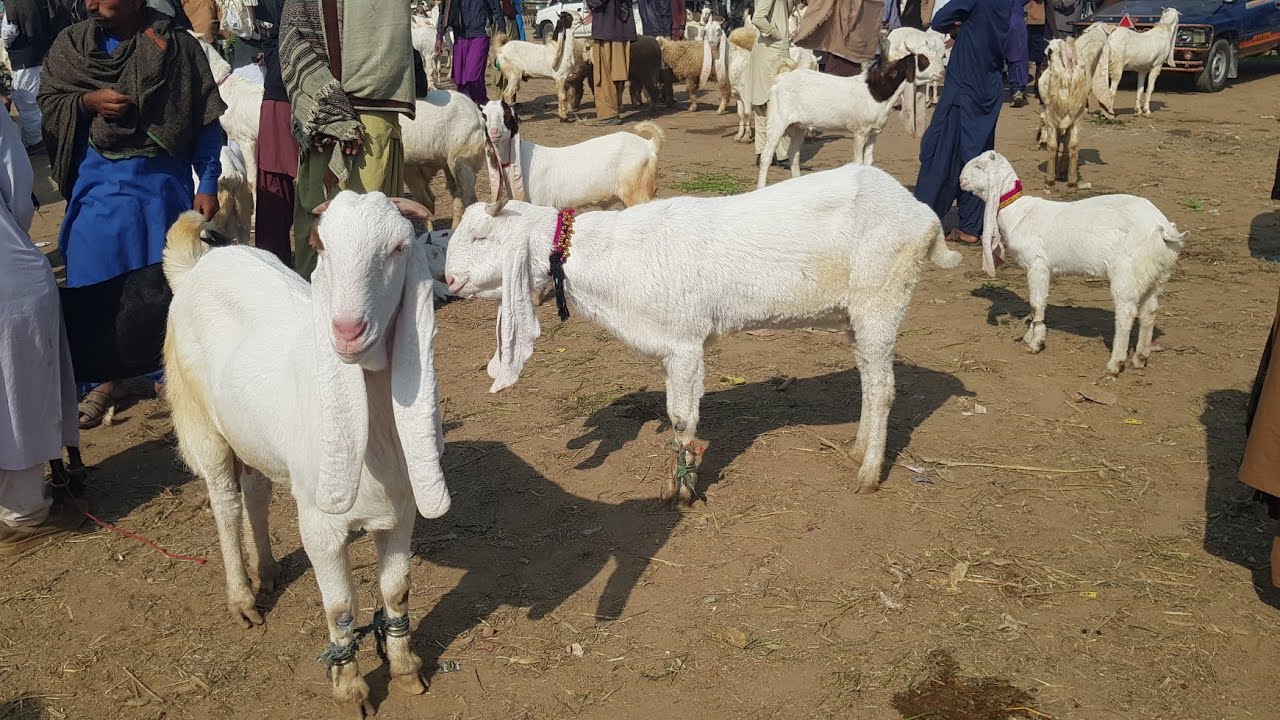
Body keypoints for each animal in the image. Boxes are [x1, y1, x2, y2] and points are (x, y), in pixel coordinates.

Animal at [162, 193, 449, 716]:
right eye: (322, 247)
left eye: (398, 248)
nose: (347, 330)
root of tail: (196, 266)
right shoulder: (321, 525)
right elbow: (341, 608)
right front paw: (351, 689)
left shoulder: (400, 509)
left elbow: (397, 589)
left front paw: (406, 669)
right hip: (200, 421)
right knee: (224, 503)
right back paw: (242, 599)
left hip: (252, 433)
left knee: (254, 491)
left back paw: (268, 570)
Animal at [441, 162, 961, 503]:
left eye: (483, 237)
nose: (449, 281)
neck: (610, 254)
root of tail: (925, 216)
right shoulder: (674, 350)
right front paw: (678, 484)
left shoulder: (685, 343)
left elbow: (681, 420)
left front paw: (683, 492)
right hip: (857, 313)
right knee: (869, 382)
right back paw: (855, 450)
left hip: (882, 298)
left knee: (884, 388)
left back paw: (869, 473)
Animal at [756, 45, 944, 188]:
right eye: (923, 59)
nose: (942, 72)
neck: (876, 91)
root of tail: (780, 78)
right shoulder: (860, 132)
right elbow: (859, 162)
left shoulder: (874, 133)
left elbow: (869, 162)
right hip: (778, 121)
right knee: (766, 156)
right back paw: (761, 187)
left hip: (798, 126)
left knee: (794, 153)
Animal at [960, 151, 1185, 375]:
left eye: (979, 167)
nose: (961, 181)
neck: (1019, 211)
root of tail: (1162, 228)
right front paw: (1029, 336)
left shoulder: (1037, 264)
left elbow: (1036, 304)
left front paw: (1035, 342)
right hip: (1154, 273)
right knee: (1149, 311)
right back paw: (1140, 357)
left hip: (1127, 271)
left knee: (1127, 311)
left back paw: (1116, 362)